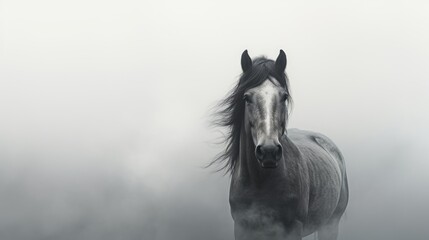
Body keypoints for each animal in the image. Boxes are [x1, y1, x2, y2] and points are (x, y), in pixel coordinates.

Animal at [214, 49, 348, 239]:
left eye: (284, 96)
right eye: (246, 98)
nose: (268, 151)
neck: (260, 182)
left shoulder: (293, 228)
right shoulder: (242, 228)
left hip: (329, 225)